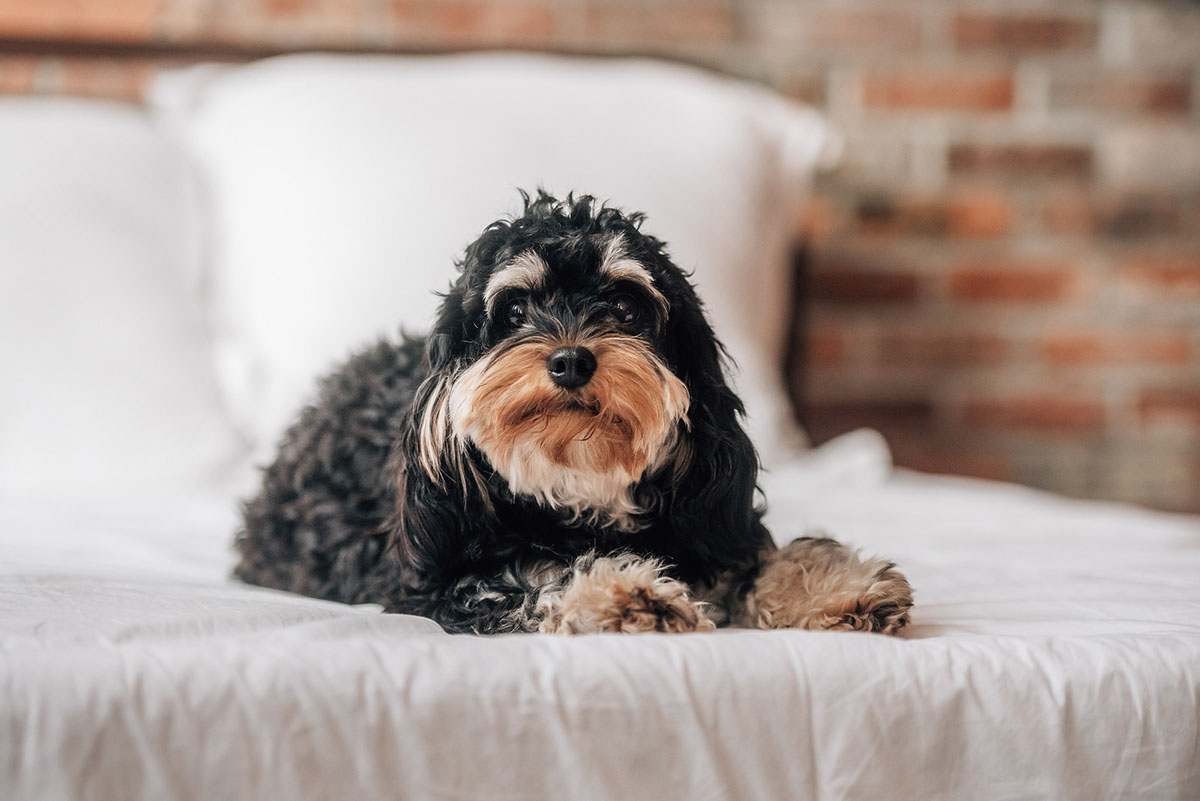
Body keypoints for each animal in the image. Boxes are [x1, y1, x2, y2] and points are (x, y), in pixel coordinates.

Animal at [234, 190, 912, 633]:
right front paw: (627, 591)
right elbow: (537, 576)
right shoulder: (441, 583)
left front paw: (837, 589)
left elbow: (762, 558)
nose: (569, 360)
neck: (582, 485)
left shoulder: (710, 523)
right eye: (513, 312)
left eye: (625, 307)